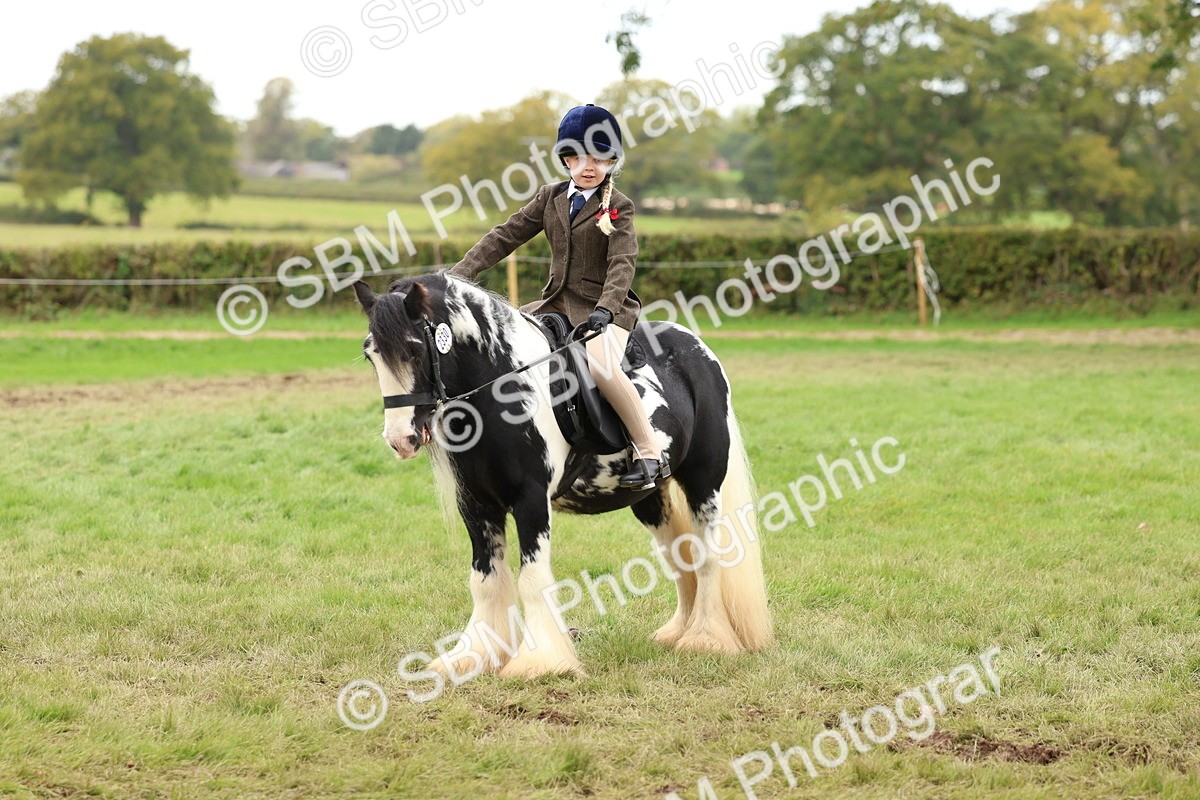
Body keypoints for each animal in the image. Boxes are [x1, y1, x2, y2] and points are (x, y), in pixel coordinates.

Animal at [352, 272, 771, 679]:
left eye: (414, 349)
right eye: (370, 354)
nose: (400, 439)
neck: (501, 389)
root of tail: (697, 347)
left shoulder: (531, 500)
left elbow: (532, 580)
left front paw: (541, 661)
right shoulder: (475, 504)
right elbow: (485, 582)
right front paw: (471, 658)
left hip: (705, 482)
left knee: (708, 554)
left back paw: (706, 639)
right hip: (650, 497)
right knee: (680, 553)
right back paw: (678, 632)